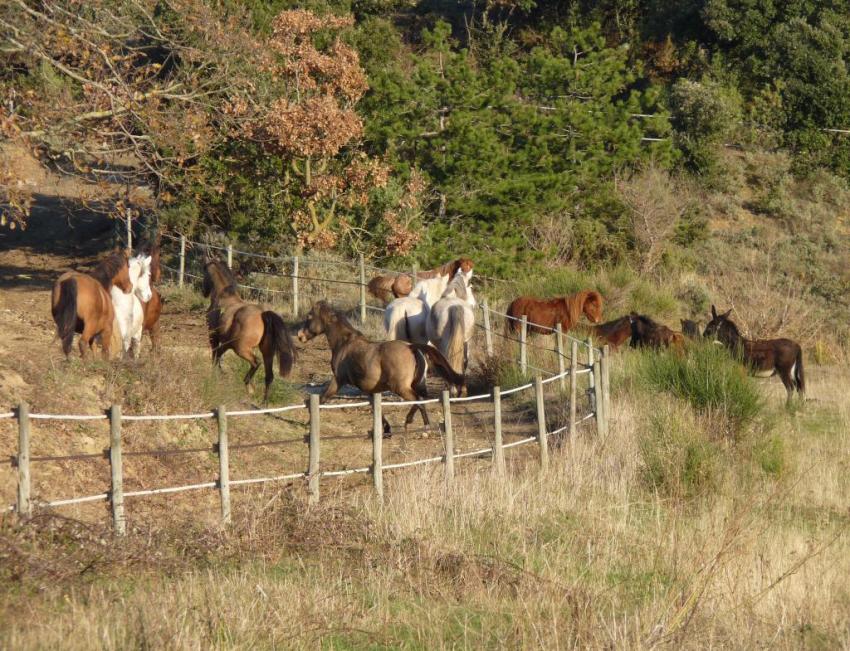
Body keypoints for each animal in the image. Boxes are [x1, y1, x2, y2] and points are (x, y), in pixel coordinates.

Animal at [203, 258, 296, 402]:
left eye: (204, 273)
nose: (204, 292)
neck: (224, 297)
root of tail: (263, 314)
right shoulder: (226, 343)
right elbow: (217, 356)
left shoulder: (214, 337)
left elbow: (215, 357)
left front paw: (215, 376)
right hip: (267, 352)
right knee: (269, 376)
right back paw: (263, 401)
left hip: (241, 349)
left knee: (256, 362)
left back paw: (249, 386)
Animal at [297, 301, 465, 436]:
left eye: (309, 316)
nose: (300, 336)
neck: (344, 344)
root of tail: (410, 347)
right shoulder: (368, 389)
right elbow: (376, 408)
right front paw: (386, 429)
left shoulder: (338, 380)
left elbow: (324, 397)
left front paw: (309, 423)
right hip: (418, 384)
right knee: (422, 400)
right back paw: (416, 423)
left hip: (400, 387)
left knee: (418, 401)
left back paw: (420, 426)